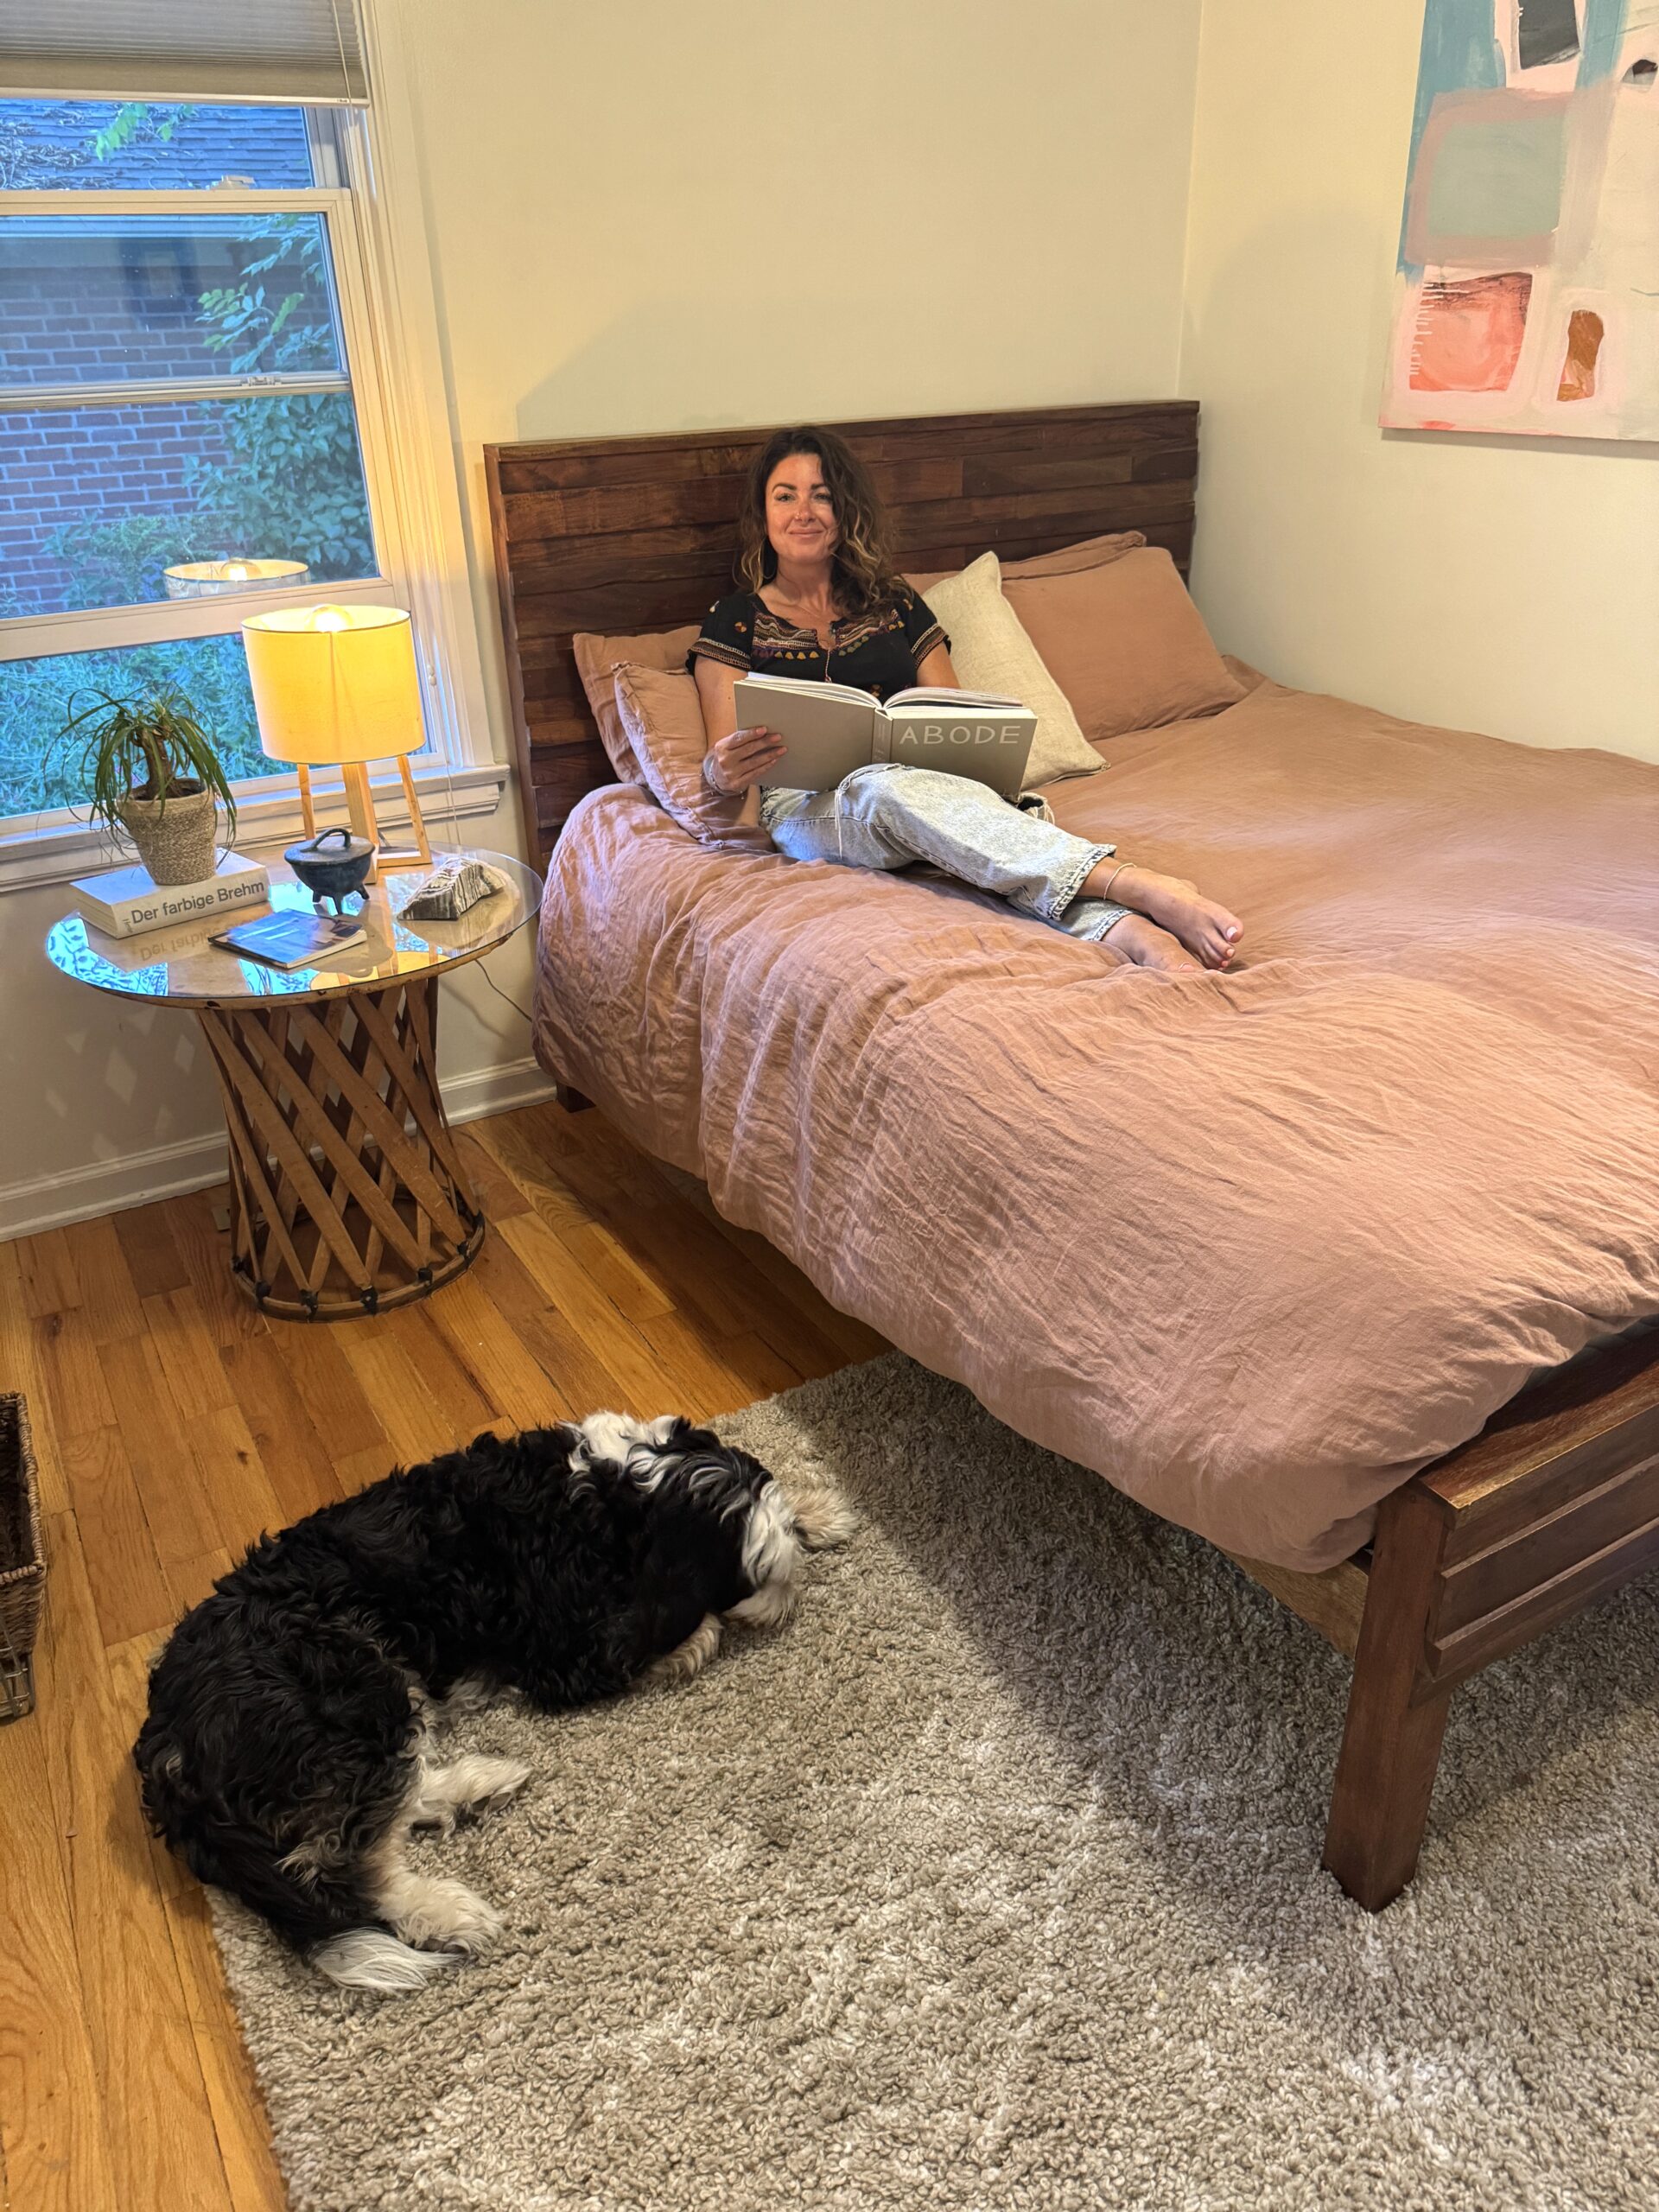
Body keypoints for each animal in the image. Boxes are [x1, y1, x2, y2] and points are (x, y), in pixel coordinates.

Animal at [135, 1415, 849, 2008]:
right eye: (754, 1579)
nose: (788, 1599)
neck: (624, 1499)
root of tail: (168, 1741)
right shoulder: (576, 1657)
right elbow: (692, 1635)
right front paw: (707, 1633)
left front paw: (817, 1508)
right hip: (354, 1683)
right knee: (343, 1862)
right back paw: (449, 1909)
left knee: (398, 1798)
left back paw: (481, 1785)